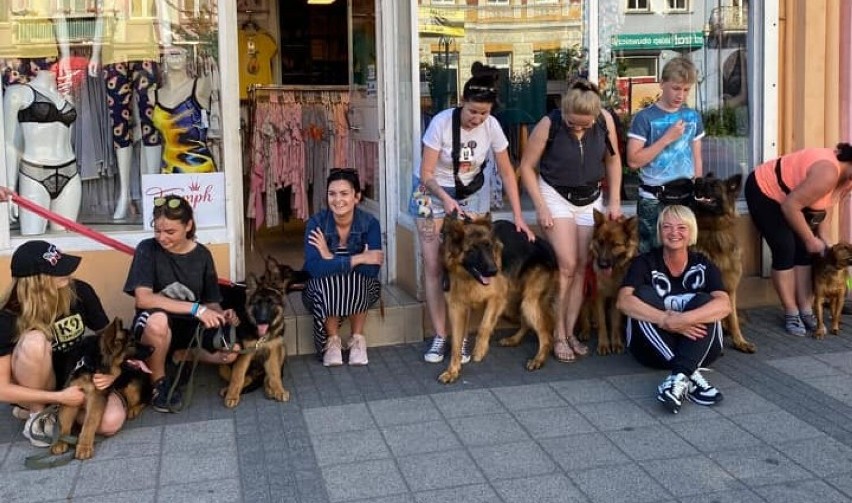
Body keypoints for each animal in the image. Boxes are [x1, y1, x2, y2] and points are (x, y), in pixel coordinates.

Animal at [51, 318, 150, 460]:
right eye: (132, 344)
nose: (153, 348)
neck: (92, 361)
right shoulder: (72, 393)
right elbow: (65, 419)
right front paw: (61, 441)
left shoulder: (96, 396)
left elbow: (90, 422)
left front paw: (84, 446)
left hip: (131, 386)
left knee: (145, 398)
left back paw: (133, 409)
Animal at [218, 260, 294, 410]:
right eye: (257, 304)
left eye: (271, 303)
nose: (262, 320)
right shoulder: (244, 354)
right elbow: (238, 376)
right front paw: (232, 396)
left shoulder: (273, 349)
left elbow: (274, 374)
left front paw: (278, 390)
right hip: (224, 362)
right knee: (245, 378)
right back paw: (228, 390)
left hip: (282, 348)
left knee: (266, 376)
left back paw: (270, 389)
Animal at [440, 214, 560, 386]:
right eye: (473, 250)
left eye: (489, 247)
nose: (494, 271)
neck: (468, 276)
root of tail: (548, 247)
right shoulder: (457, 309)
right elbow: (456, 344)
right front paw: (452, 371)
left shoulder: (496, 298)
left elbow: (484, 326)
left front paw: (480, 350)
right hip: (513, 305)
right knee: (527, 322)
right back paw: (514, 340)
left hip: (527, 303)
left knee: (546, 334)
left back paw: (539, 359)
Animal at [580, 211, 640, 356]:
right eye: (601, 242)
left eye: (615, 245)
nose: (602, 265)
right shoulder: (598, 296)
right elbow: (603, 323)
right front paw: (603, 344)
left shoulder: (616, 297)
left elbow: (615, 323)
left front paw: (616, 342)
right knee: (585, 309)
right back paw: (585, 329)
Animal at [692, 173, 752, 354]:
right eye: (702, 180)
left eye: (714, 185)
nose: (696, 180)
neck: (713, 230)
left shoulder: (730, 288)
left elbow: (733, 319)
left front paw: (740, 341)